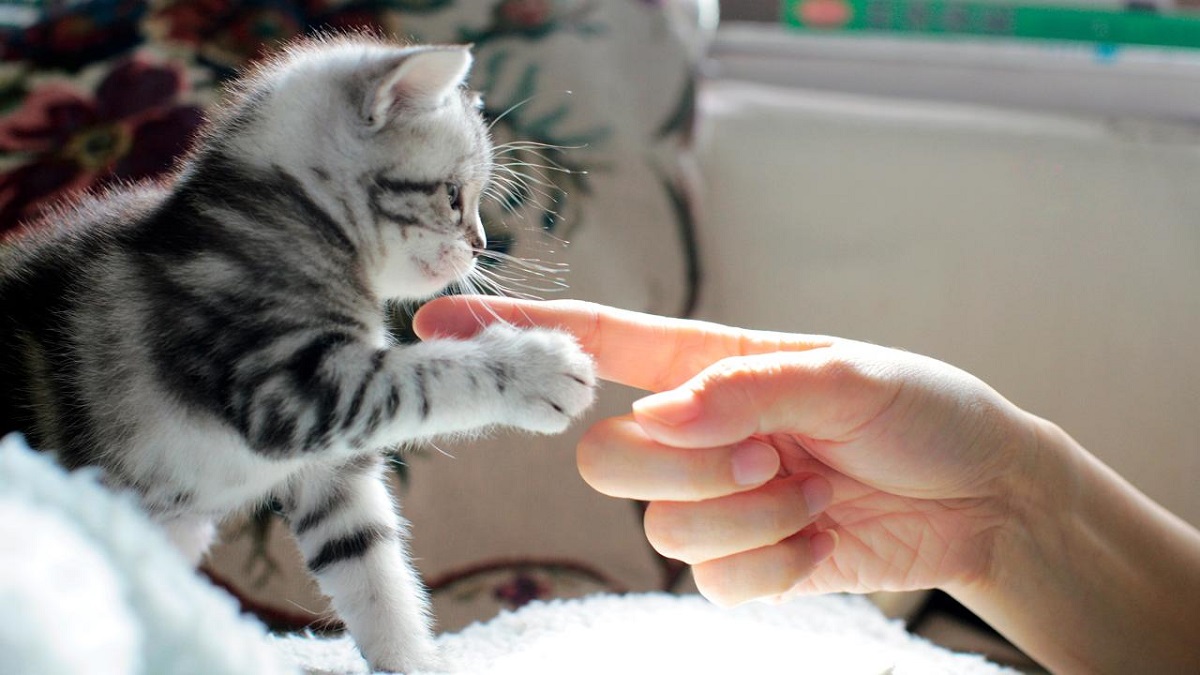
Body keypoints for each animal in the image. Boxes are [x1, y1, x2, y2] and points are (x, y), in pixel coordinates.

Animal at [0, 38, 597, 672]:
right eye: (455, 196)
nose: (482, 245)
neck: (295, 220)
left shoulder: (334, 475)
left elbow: (374, 572)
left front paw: (412, 660)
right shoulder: (292, 387)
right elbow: (426, 375)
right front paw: (539, 368)